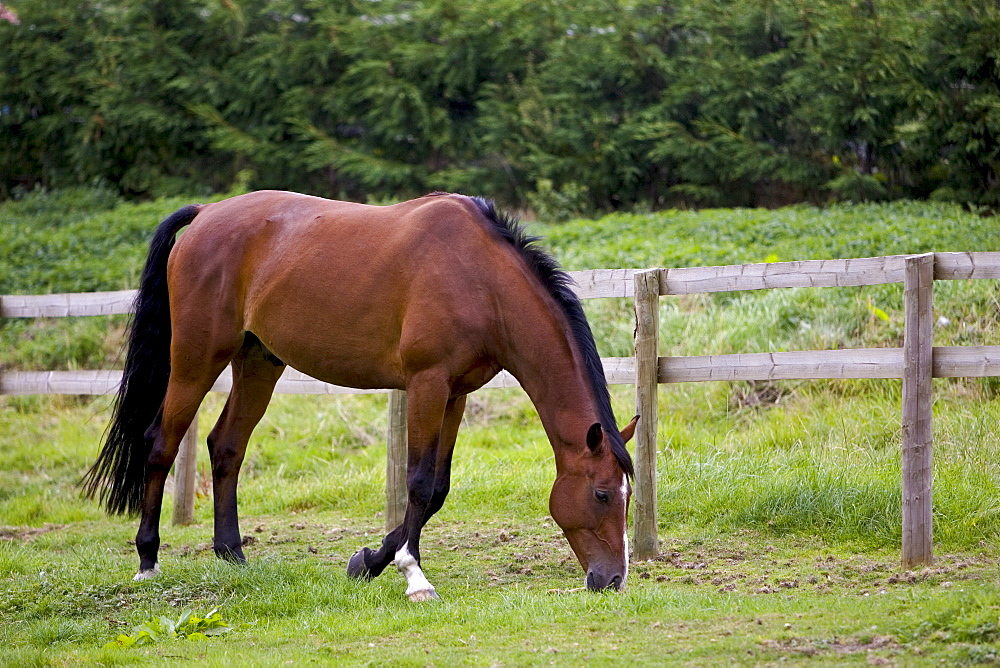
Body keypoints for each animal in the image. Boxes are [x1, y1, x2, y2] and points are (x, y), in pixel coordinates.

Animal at [84, 189, 632, 600]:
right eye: (603, 494)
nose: (612, 580)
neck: (479, 277)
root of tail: (205, 214)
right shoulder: (428, 385)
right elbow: (418, 484)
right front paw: (413, 575)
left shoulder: (455, 394)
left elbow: (437, 488)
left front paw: (367, 561)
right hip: (196, 361)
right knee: (161, 444)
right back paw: (147, 561)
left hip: (258, 363)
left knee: (226, 446)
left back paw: (233, 554)